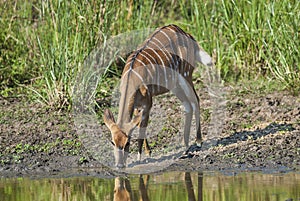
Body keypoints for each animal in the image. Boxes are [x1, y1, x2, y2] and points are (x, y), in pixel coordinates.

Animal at [103, 24, 213, 168]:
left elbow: (142, 128)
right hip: (175, 84)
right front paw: (147, 153)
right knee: (187, 105)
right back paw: (185, 145)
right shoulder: (137, 106)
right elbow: (140, 124)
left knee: (195, 101)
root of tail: (188, 34)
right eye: (113, 142)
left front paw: (141, 157)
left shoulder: (148, 102)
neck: (132, 79)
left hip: (186, 75)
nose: (119, 165)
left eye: (127, 142)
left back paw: (199, 141)